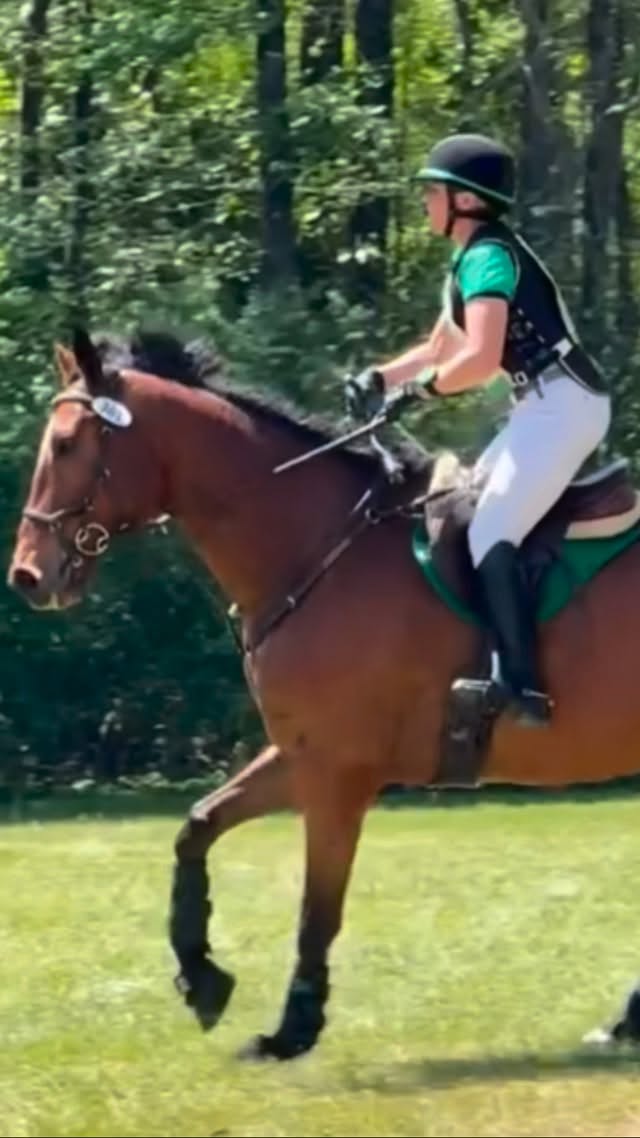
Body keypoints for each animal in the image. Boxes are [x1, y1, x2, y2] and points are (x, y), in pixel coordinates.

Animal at [7, 325, 640, 1060]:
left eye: (66, 444)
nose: (28, 576)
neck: (315, 546)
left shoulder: (339, 771)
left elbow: (318, 904)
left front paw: (293, 1027)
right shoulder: (300, 753)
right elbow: (197, 826)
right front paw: (203, 979)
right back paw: (628, 1019)